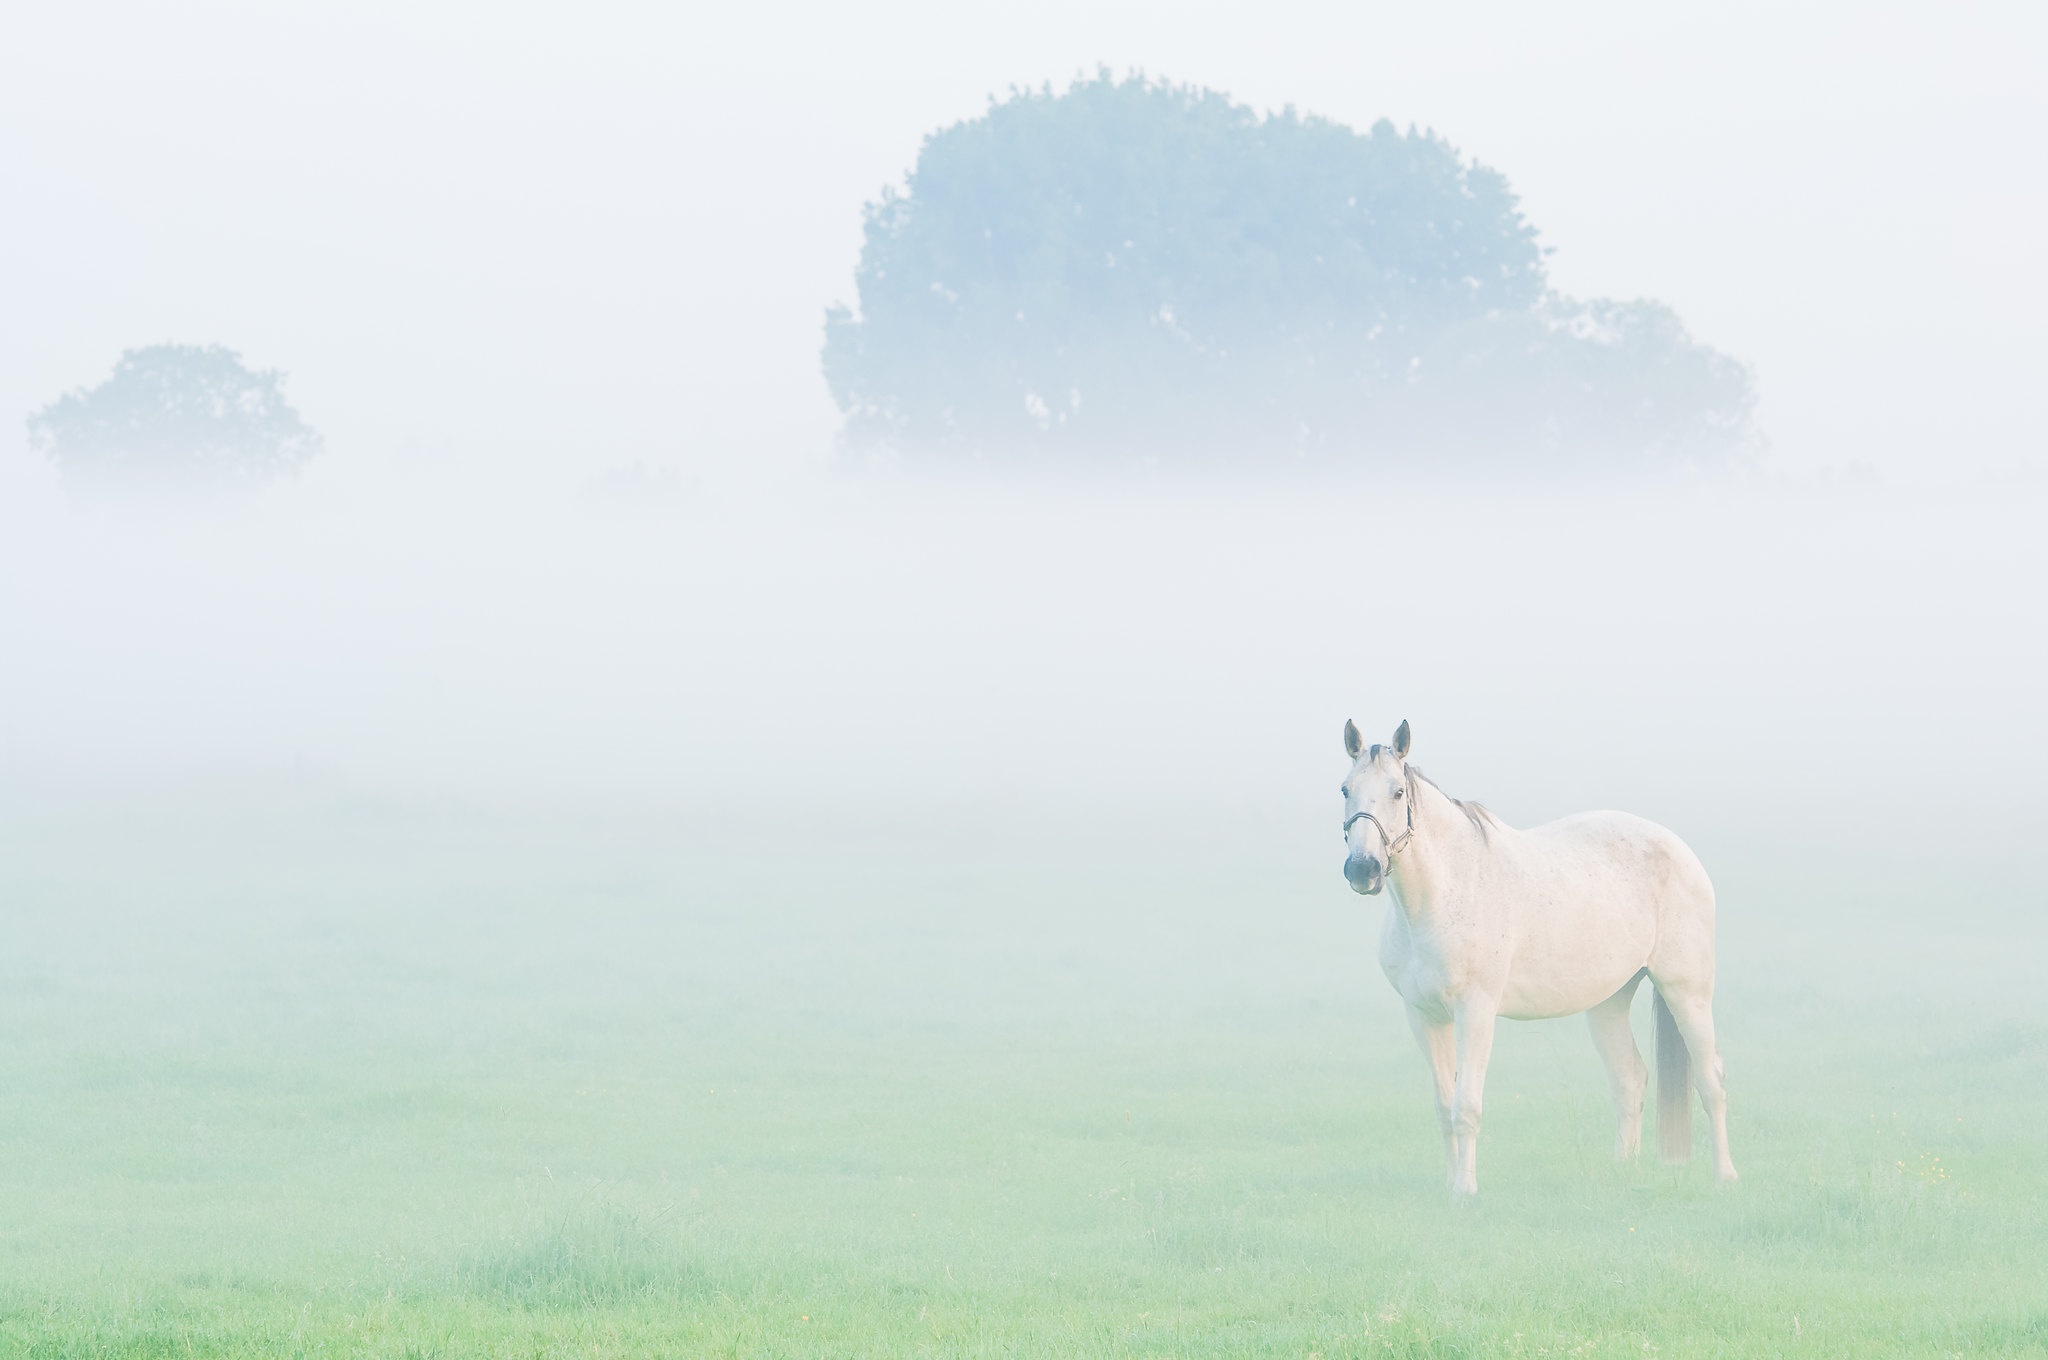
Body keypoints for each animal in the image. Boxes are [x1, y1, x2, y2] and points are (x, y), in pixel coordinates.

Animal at [1343, 716, 1728, 1196]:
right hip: (1610, 1001)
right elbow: (1444, 1107)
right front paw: (1450, 1186)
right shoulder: (1423, 1016)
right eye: (1345, 789)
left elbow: (1466, 1106)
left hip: (1686, 992)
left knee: (1712, 1082)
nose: (1363, 869)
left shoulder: (1475, 1012)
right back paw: (1623, 1171)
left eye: (1397, 792)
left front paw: (1465, 1192)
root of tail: (1680, 849)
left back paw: (1725, 1176)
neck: (1446, 890)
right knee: (1630, 1080)